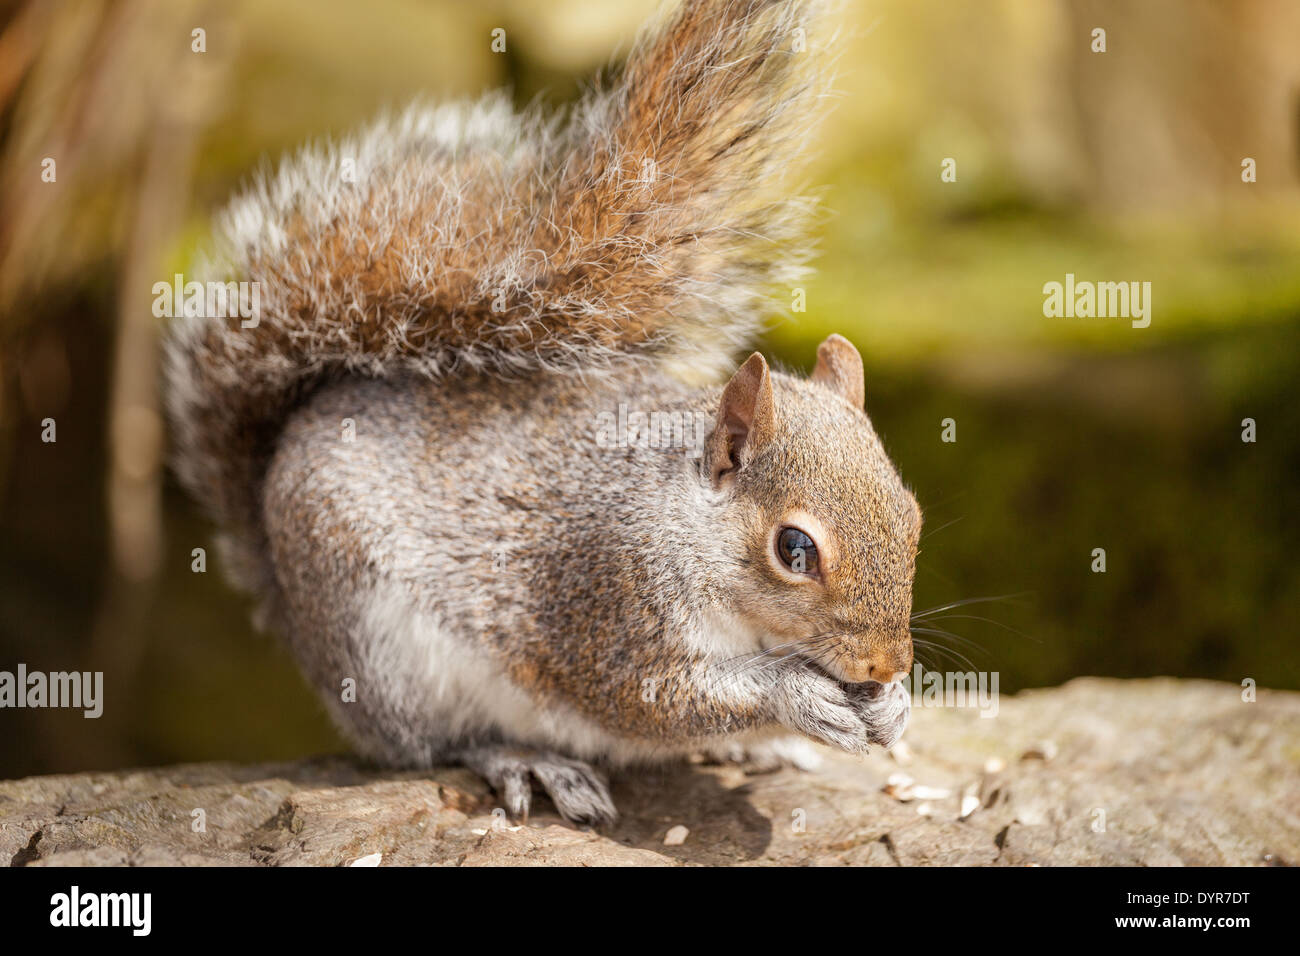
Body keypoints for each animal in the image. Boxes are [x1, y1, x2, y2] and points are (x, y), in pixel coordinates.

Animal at [165, 0, 920, 826]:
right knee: (428, 745)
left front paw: (891, 709)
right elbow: (652, 699)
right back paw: (526, 760)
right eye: (794, 549)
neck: (686, 525)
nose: (888, 663)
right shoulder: (610, 601)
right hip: (383, 650)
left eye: (913, 517)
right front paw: (797, 698)